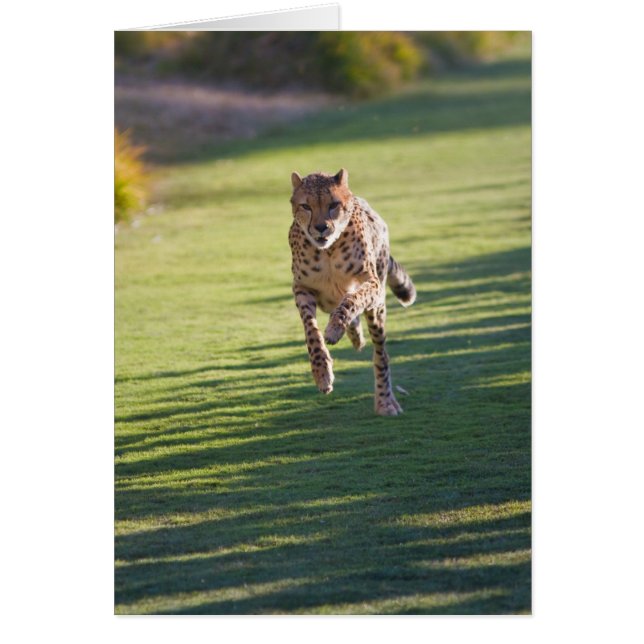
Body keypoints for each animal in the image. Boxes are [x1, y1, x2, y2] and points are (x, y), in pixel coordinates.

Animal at [289, 168, 416, 416]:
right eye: (306, 206)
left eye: (333, 204)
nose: (321, 228)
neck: (327, 250)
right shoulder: (301, 289)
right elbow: (311, 332)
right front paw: (322, 372)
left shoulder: (373, 285)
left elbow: (352, 299)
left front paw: (336, 327)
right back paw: (354, 335)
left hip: (378, 308)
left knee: (381, 355)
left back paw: (385, 401)